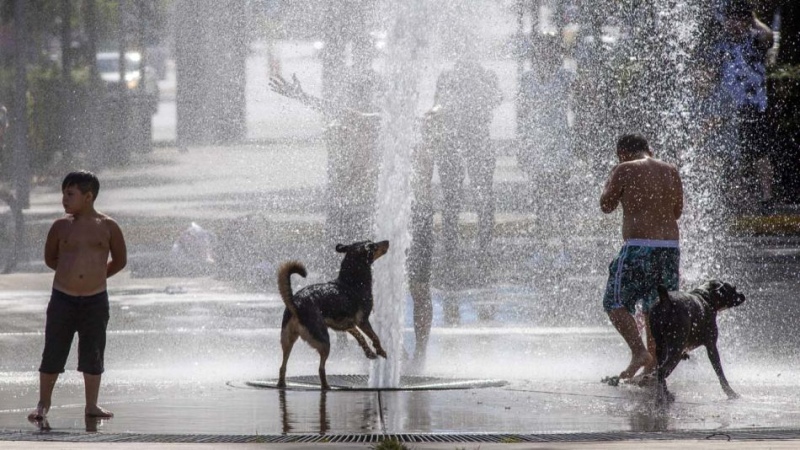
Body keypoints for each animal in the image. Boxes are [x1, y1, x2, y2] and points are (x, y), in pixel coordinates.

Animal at [276, 239, 390, 390]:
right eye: (374, 245)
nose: (387, 241)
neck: (351, 281)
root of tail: (296, 303)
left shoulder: (346, 324)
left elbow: (360, 337)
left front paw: (369, 352)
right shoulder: (362, 321)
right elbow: (374, 337)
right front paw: (381, 351)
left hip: (288, 340)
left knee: (282, 366)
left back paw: (281, 384)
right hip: (324, 341)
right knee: (320, 369)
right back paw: (326, 386)